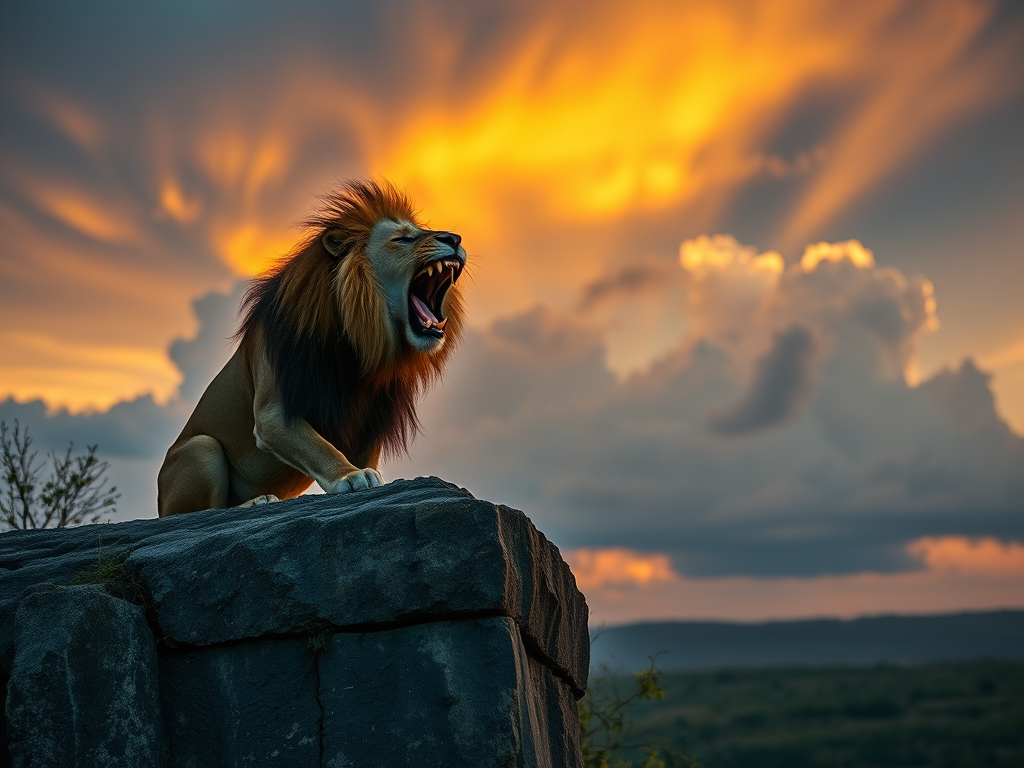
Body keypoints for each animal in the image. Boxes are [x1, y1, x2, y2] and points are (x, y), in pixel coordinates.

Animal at [157, 179, 466, 517]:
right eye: (403, 238)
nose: (455, 238)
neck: (360, 343)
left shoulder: (373, 417)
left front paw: (367, 474)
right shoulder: (272, 414)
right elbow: (318, 447)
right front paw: (351, 476)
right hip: (201, 448)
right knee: (204, 511)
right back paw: (256, 501)